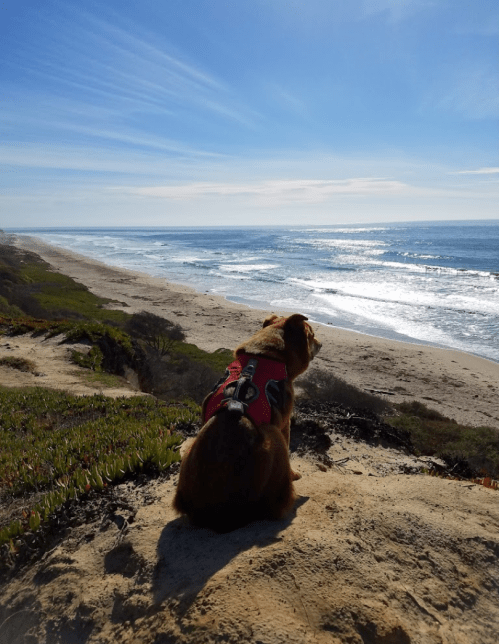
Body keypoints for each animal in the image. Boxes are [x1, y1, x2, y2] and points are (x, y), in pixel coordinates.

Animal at [172, 314, 322, 532]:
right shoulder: (285, 424)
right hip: (273, 436)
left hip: (190, 447)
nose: (322, 344)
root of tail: (215, 517)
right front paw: (294, 474)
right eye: (311, 334)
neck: (266, 355)